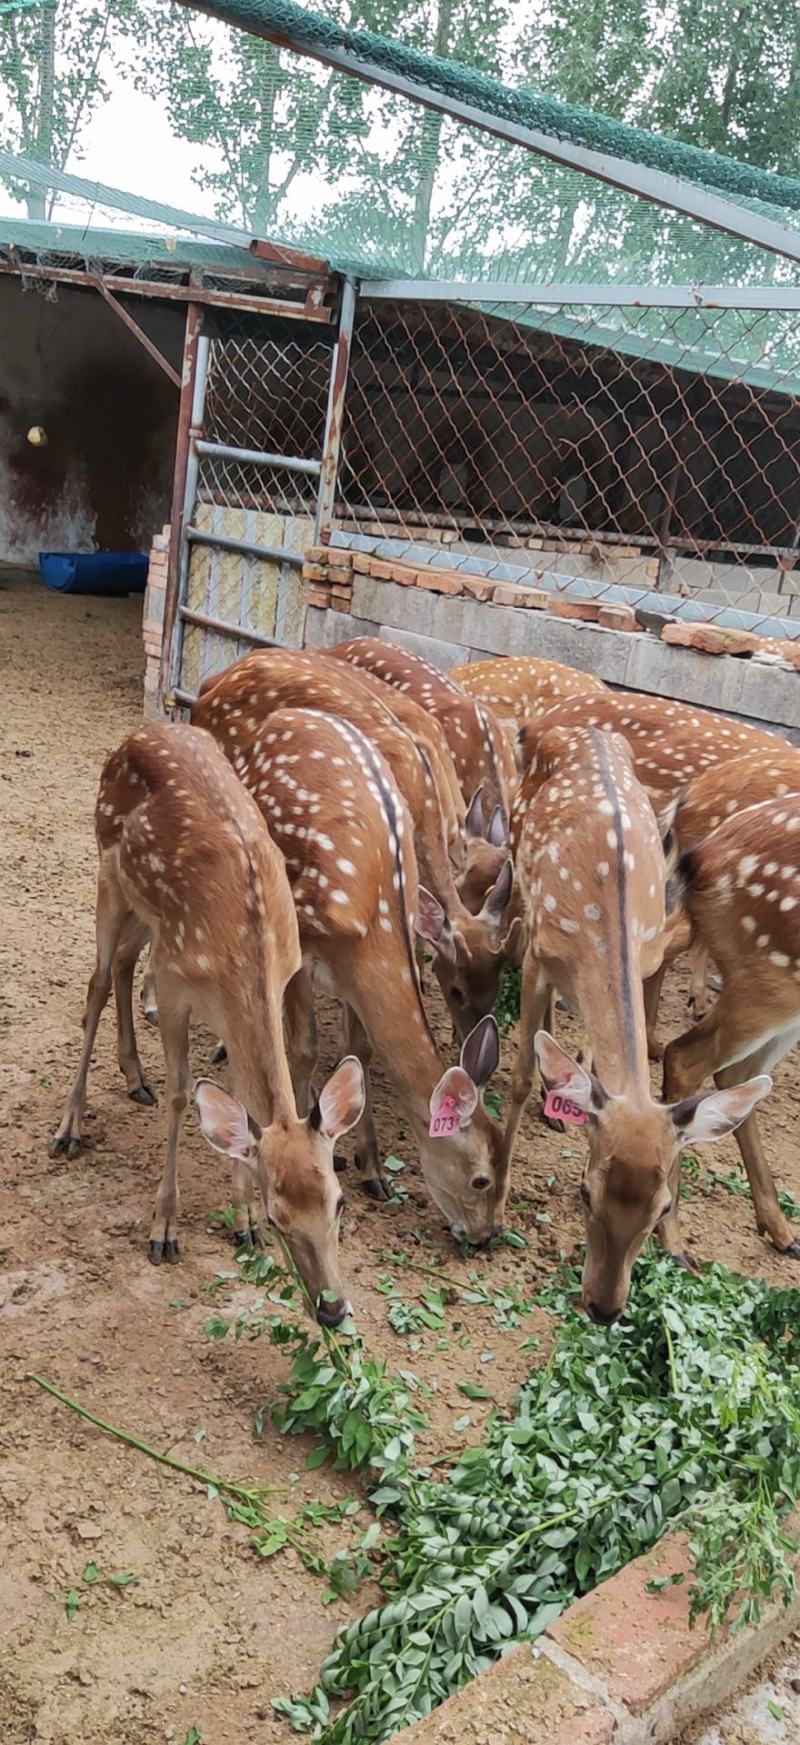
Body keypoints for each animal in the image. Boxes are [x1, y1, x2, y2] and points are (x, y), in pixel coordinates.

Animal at [51, 725, 370, 1319]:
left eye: (339, 1202)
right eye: (279, 1216)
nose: (333, 1308)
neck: (245, 952)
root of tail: (141, 731)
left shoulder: (268, 981)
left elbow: (241, 1104)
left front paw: (239, 1223)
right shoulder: (177, 985)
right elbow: (183, 1096)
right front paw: (164, 1229)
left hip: (149, 916)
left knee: (123, 964)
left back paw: (135, 1078)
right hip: (109, 874)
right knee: (96, 984)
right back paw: (68, 1129)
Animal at [190, 698, 503, 1242]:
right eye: (480, 1179)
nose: (485, 1239)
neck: (373, 925)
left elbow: (360, 1050)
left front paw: (372, 1167)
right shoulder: (304, 944)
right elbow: (305, 1049)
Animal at [499, 725, 768, 1319]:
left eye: (663, 1206)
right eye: (584, 1191)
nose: (604, 1307)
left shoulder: (646, 956)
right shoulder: (538, 957)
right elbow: (521, 1075)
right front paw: (494, 1206)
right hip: (514, 853)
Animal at [663, 799, 800, 1263]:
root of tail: (701, 857)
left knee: (738, 1076)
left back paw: (782, 1230)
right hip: (769, 980)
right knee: (684, 1057)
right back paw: (671, 1239)